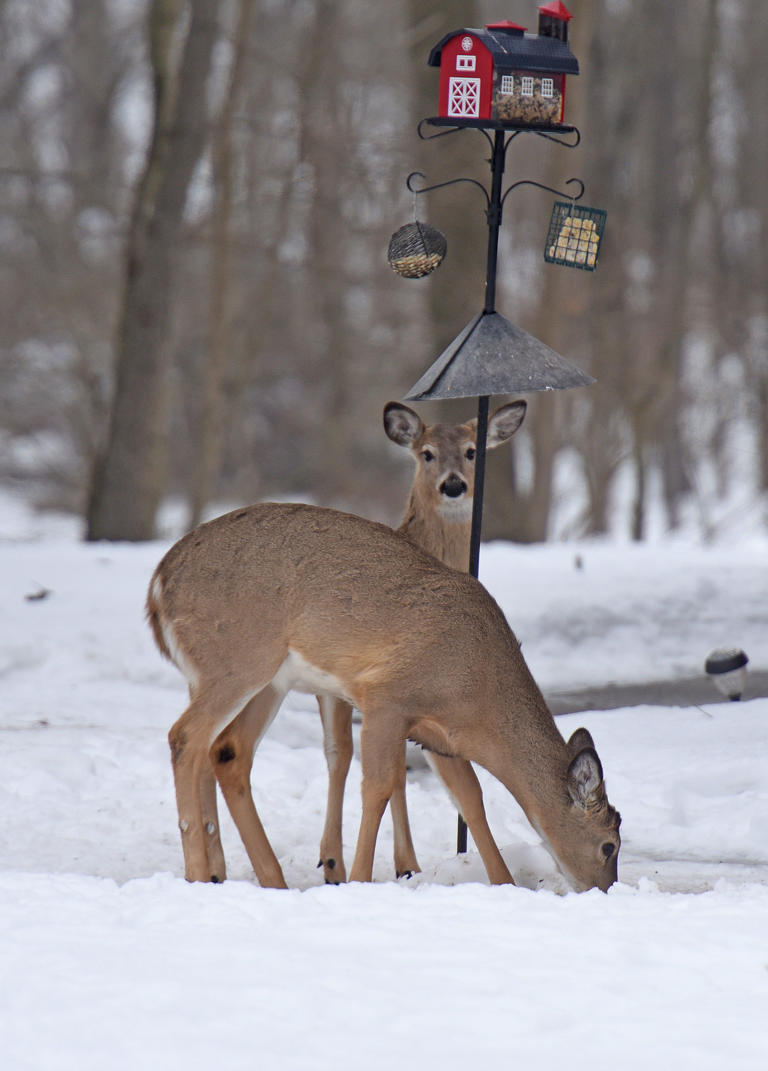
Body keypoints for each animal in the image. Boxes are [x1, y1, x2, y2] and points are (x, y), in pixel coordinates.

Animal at [147, 501, 621, 893]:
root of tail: (159, 582)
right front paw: (360, 879)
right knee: (186, 737)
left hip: (265, 682)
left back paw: (265, 879)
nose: (604, 890)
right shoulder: (386, 697)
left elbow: (470, 799)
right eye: (609, 845)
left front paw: (504, 883)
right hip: (238, 660)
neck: (480, 691)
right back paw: (198, 874)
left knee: (228, 751)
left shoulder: (438, 736)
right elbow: (377, 787)